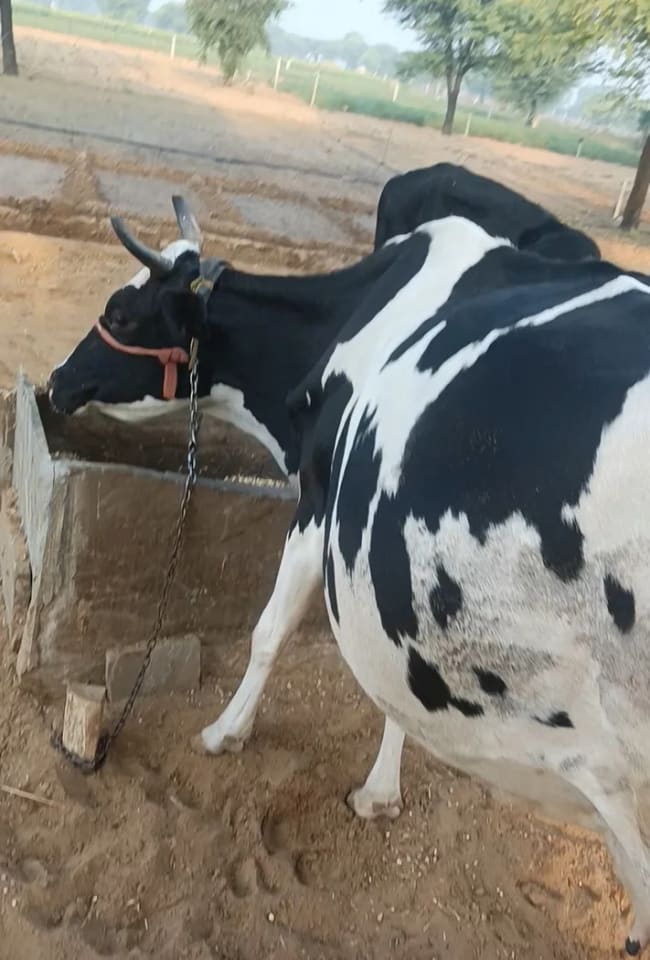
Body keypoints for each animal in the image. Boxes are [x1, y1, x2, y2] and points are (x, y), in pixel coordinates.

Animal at [48, 193, 650, 955]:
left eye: (123, 313)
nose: (56, 380)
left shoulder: (319, 505)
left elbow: (271, 633)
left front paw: (225, 733)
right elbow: (395, 681)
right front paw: (381, 791)